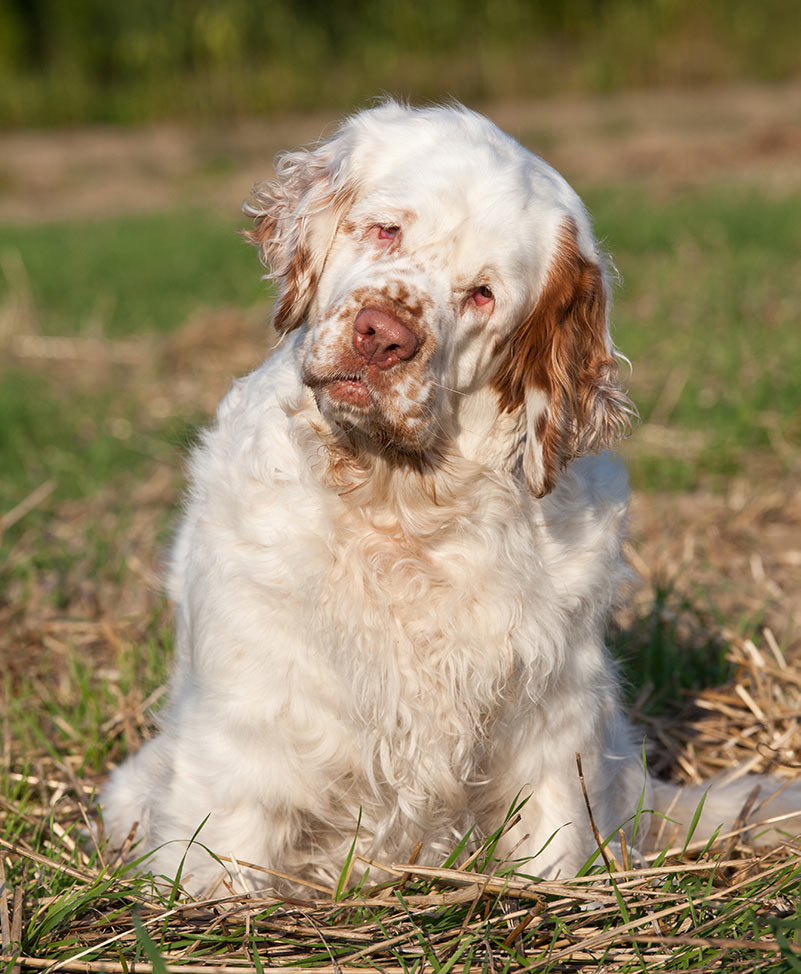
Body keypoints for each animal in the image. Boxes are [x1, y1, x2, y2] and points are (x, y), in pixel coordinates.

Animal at [101, 99, 800, 892]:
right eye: (386, 229)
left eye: (482, 294)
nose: (382, 335)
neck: (400, 507)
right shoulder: (245, 733)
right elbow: (222, 861)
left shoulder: (556, 732)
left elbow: (554, 851)